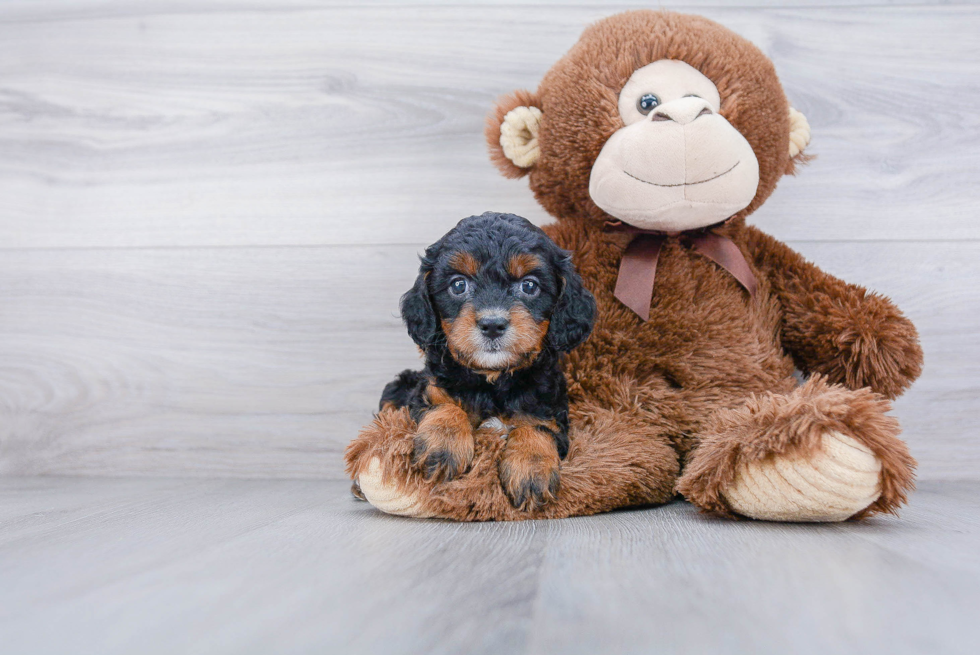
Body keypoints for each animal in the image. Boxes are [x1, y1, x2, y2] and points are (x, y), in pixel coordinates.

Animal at [380, 213, 596, 510]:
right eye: (458, 285)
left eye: (529, 285)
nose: (492, 325)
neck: (492, 380)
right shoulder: (428, 388)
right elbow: (444, 403)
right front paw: (443, 445)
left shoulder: (551, 409)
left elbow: (537, 427)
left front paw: (531, 468)